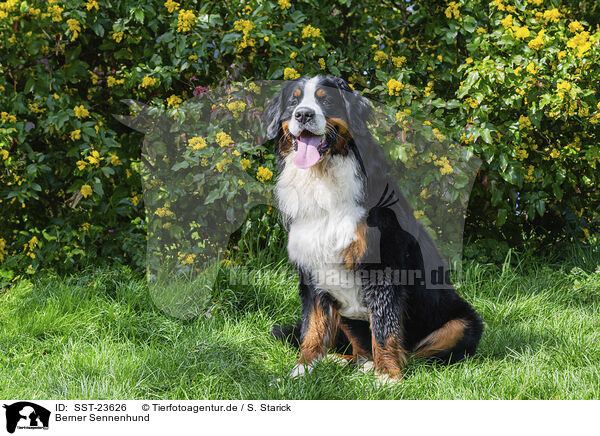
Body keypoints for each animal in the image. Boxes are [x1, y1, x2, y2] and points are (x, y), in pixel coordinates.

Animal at [262, 76, 482, 378]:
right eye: (294, 101)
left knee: (417, 354)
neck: (324, 180)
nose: (303, 114)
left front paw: (388, 375)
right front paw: (302, 370)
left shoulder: (384, 266)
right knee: (356, 350)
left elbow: (385, 327)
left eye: (326, 100)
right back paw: (345, 362)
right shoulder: (312, 270)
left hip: (462, 322)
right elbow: (313, 328)